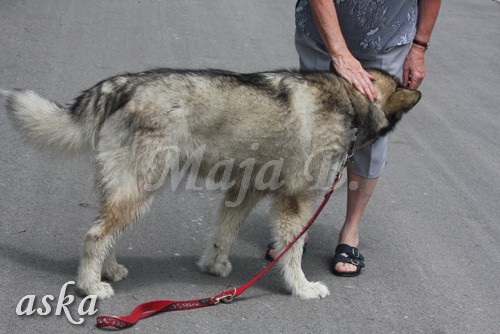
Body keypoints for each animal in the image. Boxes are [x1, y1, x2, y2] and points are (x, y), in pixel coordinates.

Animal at [1, 68, 420, 300]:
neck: (350, 98)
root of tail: (124, 84)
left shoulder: (244, 190)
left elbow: (224, 233)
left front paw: (214, 266)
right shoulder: (296, 201)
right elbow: (294, 251)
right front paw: (301, 288)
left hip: (126, 192)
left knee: (106, 234)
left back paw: (110, 270)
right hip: (138, 191)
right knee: (94, 236)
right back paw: (90, 286)